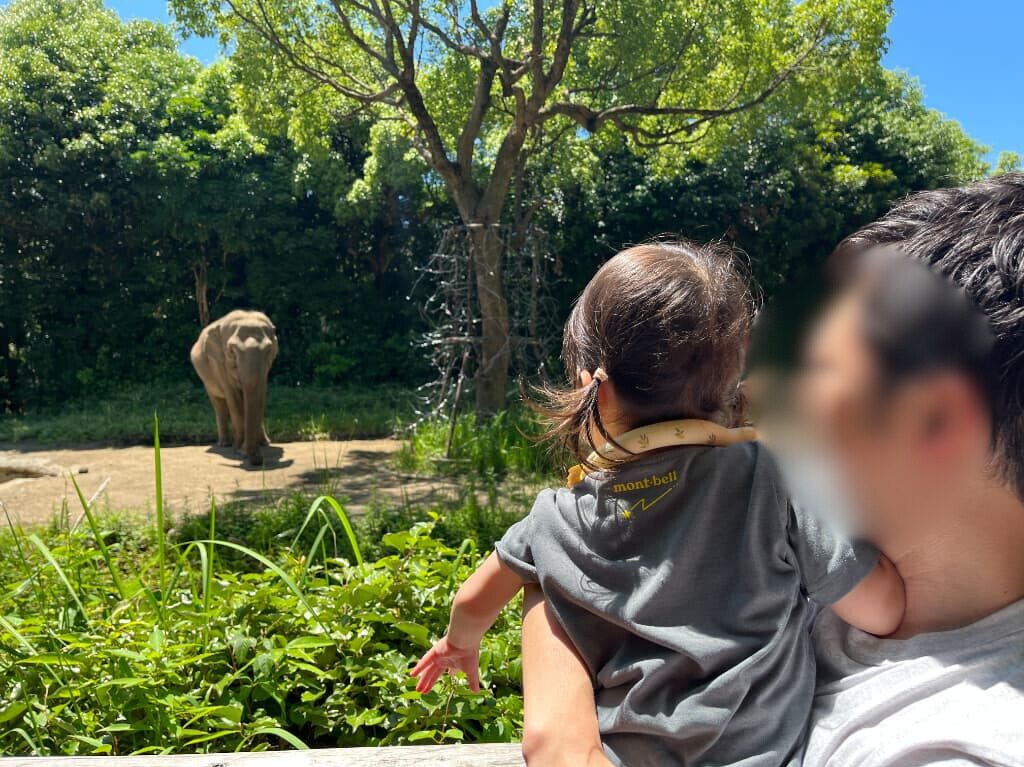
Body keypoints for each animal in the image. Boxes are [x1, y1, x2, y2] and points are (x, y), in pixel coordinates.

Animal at [190, 307, 278, 462]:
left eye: (269, 349)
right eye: (232, 351)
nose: (258, 460)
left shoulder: (266, 368)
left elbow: (260, 395)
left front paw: (252, 448)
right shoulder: (219, 362)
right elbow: (234, 400)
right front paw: (239, 451)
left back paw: (265, 443)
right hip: (207, 381)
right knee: (219, 404)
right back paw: (224, 444)